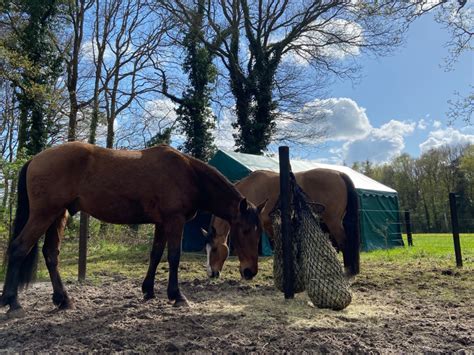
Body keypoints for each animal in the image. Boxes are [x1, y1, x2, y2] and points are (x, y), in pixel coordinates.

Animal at [0, 143, 264, 316]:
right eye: (245, 230)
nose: (250, 271)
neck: (189, 174)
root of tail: (35, 159)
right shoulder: (174, 220)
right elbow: (174, 257)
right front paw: (177, 296)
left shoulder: (162, 223)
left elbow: (156, 255)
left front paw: (149, 290)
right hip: (44, 214)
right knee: (19, 248)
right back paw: (13, 303)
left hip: (58, 215)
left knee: (50, 254)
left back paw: (63, 299)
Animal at [206, 170, 362, 278]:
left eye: (214, 249)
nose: (212, 273)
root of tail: (340, 174)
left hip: (333, 222)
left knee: (344, 243)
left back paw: (348, 273)